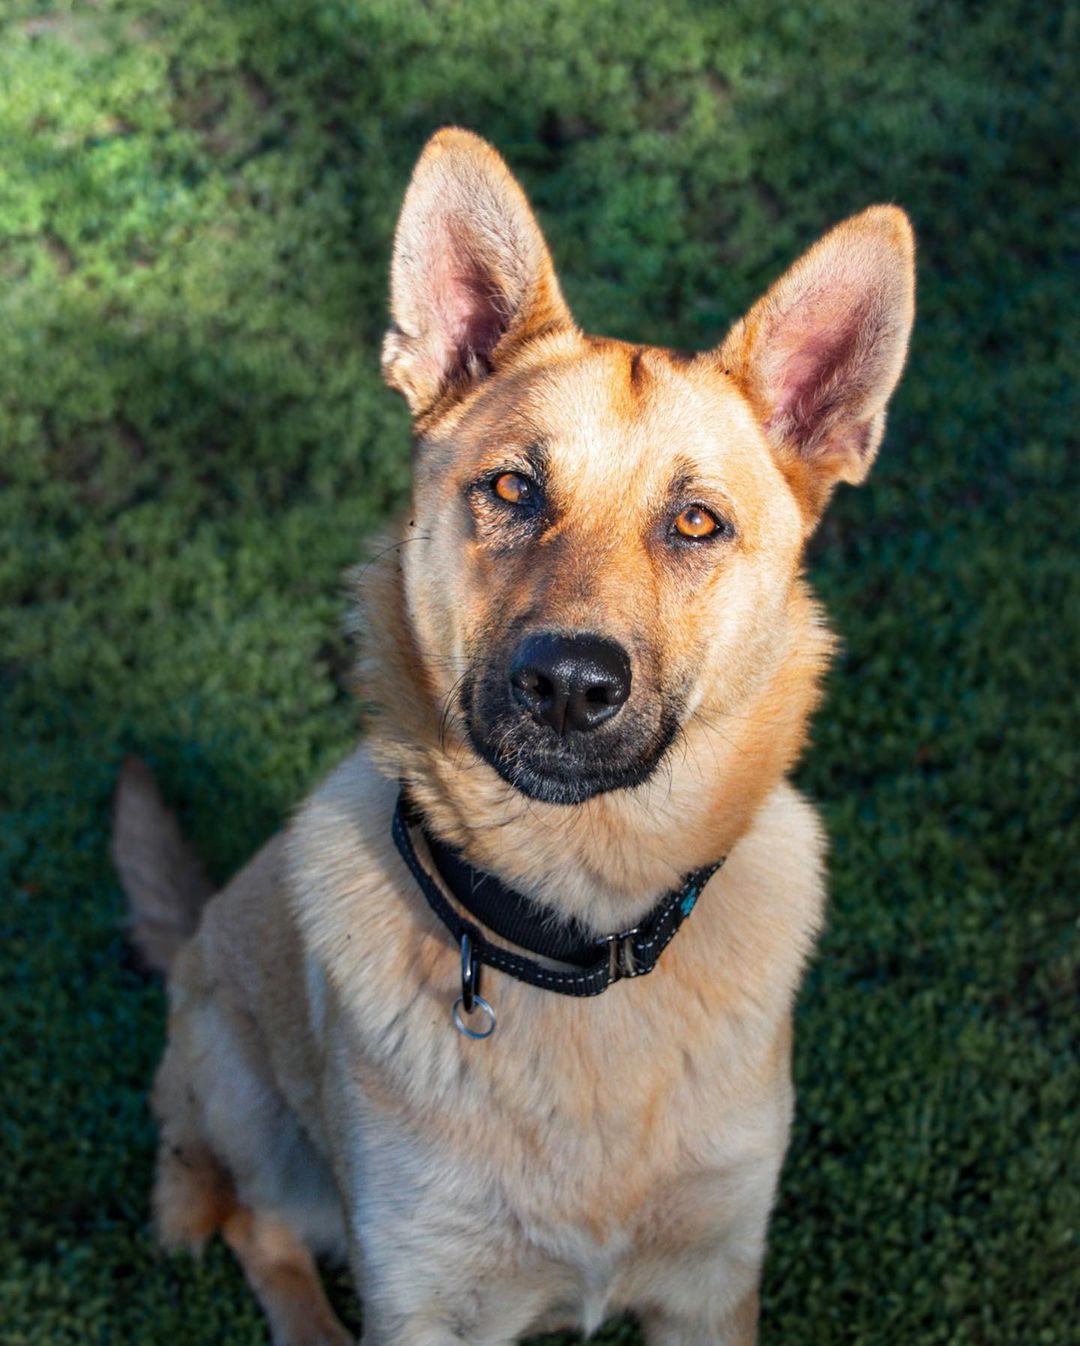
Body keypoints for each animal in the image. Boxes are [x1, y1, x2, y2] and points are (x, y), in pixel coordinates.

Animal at [113, 128, 915, 1346]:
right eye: (512, 487)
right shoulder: (423, 1293)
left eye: (696, 521)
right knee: (259, 1227)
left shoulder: (713, 1280)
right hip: (248, 1101)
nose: (570, 685)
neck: (578, 926)